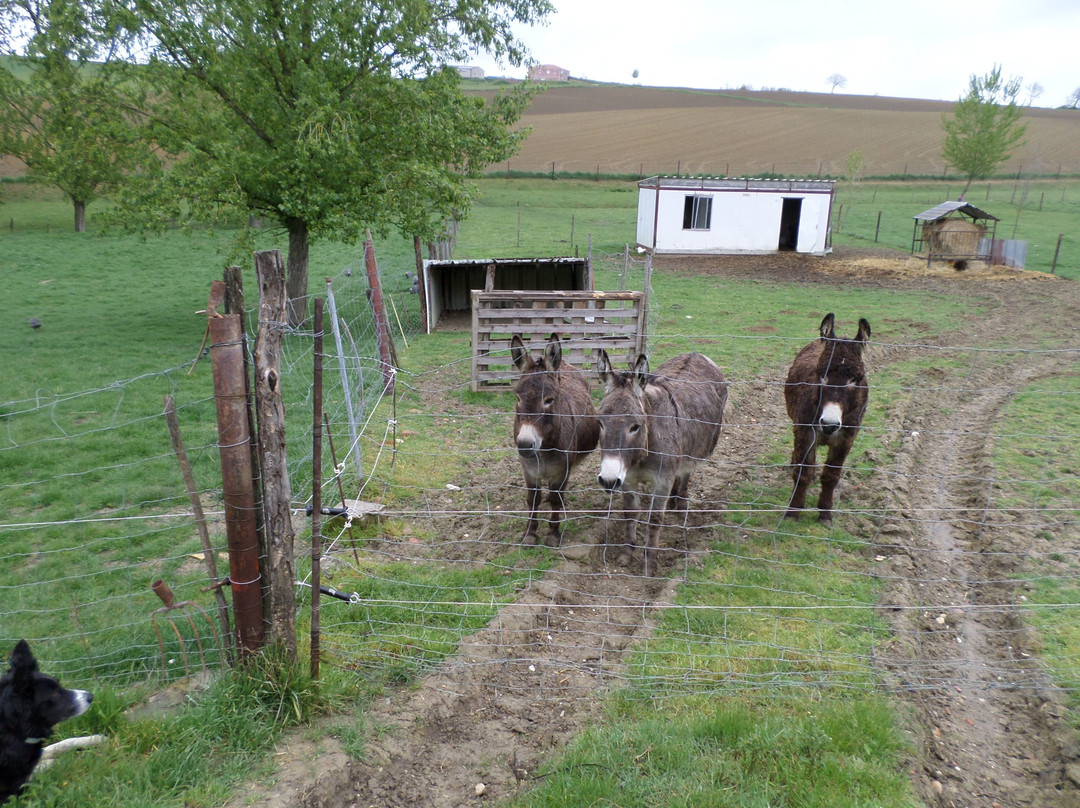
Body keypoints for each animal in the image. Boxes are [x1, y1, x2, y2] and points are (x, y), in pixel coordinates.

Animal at [0, 639, 93, 803]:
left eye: (59, 684)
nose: (90, 696)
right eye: (54, 694)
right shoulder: (12, 790)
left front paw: (95, 739)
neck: (11, 727)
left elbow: (60, 744)